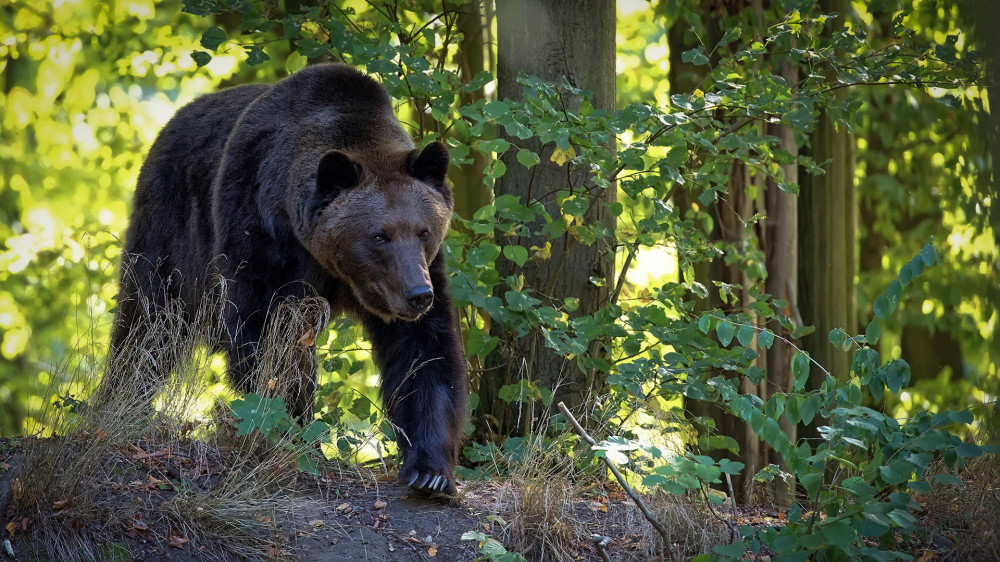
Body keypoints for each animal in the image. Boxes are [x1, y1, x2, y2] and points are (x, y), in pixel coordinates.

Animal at [107, 62, 466, 490]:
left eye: (423, 231)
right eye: (379, 235)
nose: (417, 294)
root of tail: (170, 124)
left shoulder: (421, 274)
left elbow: (425, 354)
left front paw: (430, 471)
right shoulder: (259, 231)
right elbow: (268, 338)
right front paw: (292, 432)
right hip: (172, 226)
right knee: (149, 321)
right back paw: (119, 400)